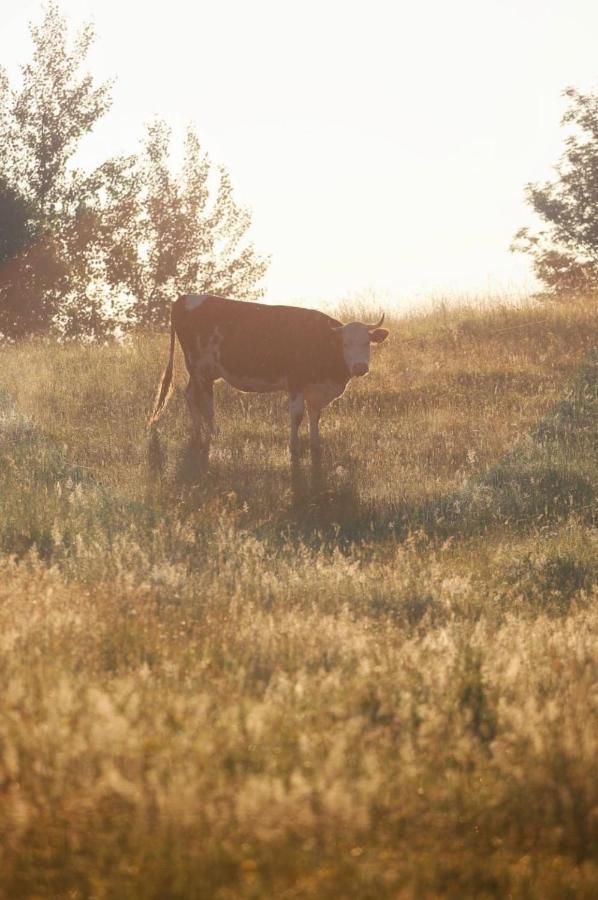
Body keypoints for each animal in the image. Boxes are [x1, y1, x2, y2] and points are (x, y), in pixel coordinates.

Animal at [149, 294, 392, 464]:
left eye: (367, 342)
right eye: (345, 343)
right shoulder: (295, 381)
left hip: (202, 372)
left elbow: (315, 415)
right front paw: (294, 448)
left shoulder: (316, 389)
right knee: (205, 402)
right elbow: (297, 415)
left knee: (190, 395)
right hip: (201, 369)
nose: (360, 367)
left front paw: (315, 445)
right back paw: (211, 436)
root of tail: (184, 298)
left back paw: (198, 433)